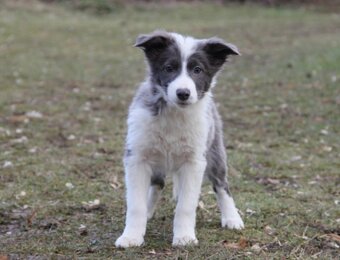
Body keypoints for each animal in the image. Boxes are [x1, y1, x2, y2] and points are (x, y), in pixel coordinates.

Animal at [115, 31, 243, 248]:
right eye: (169, 68)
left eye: (197, 70)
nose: (183, 93)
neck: (174, 114)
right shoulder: (137, 158)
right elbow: (135, 205)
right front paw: (131, 236)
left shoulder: (194, 161)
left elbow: (186, 205)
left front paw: (184, 237)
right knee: (157, 184)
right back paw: (149, 210)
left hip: (214, 151)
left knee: (222, 185)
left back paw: (232, 218)